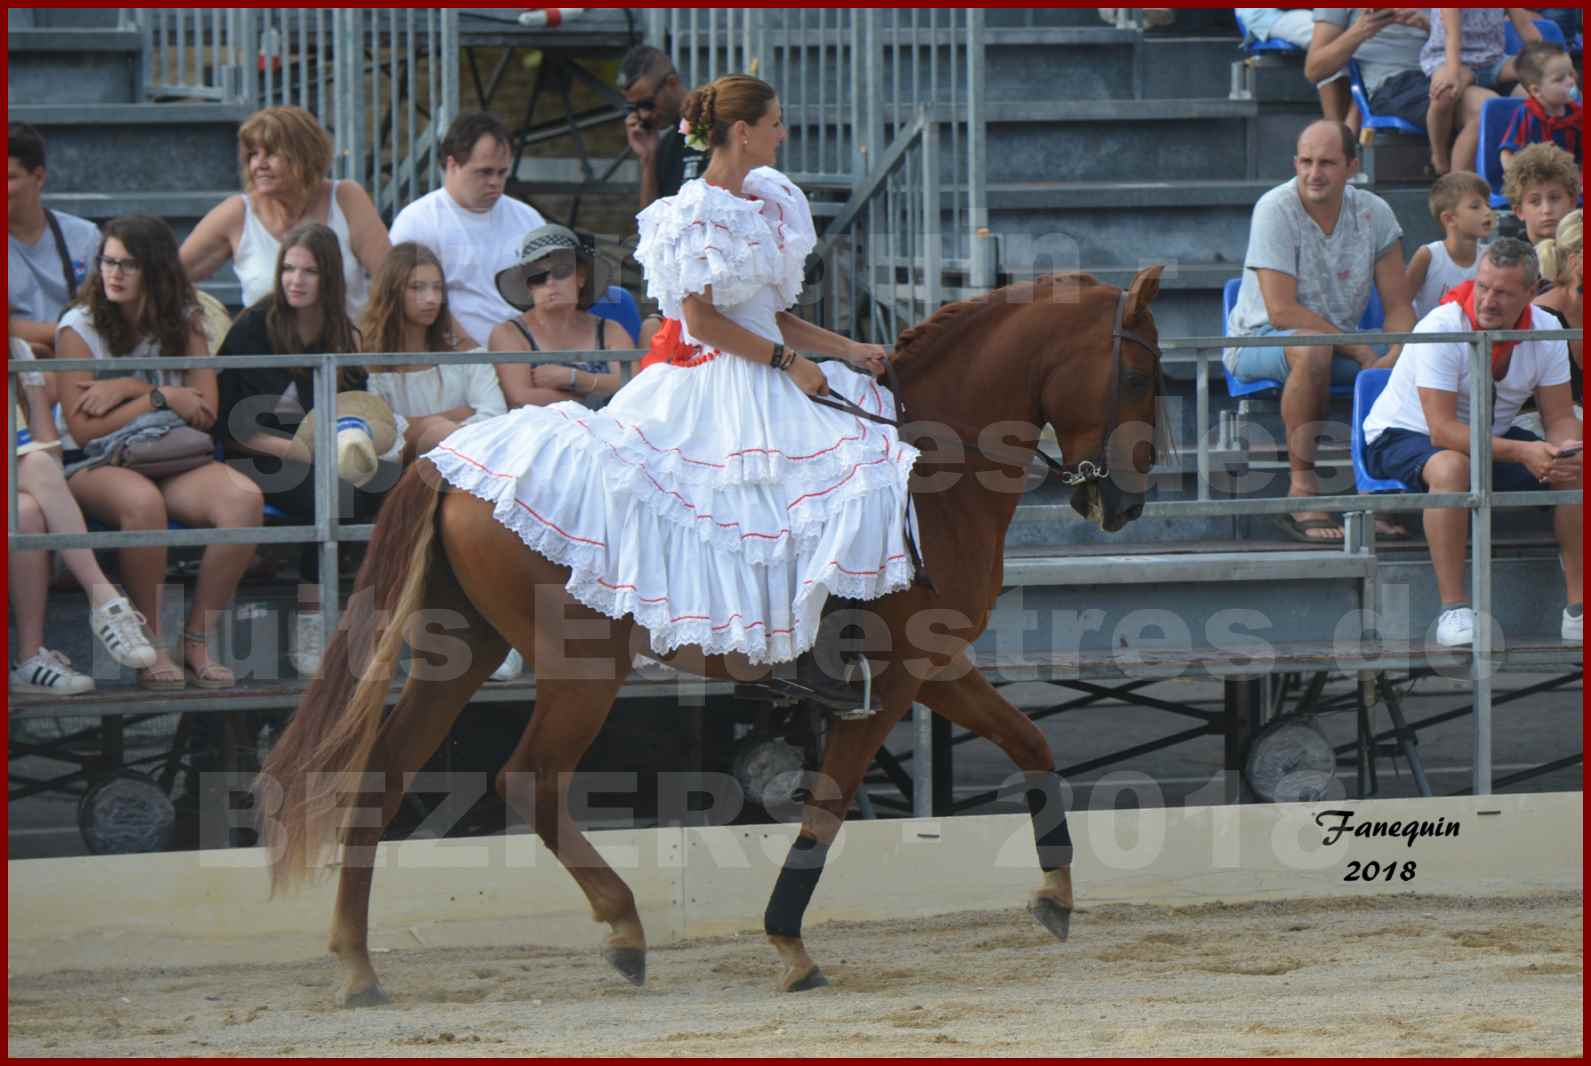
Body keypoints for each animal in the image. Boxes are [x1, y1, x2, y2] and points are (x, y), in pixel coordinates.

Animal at [257, 262, 1170, 1005]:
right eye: (1138, 374)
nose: (1124, 505)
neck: (935, 467)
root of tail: (444, 460)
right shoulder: (887, 682)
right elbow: (829, 807)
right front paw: (790, 946)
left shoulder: (936, 663)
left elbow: (1028, 743)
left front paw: (1055, 894)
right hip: (580, 667)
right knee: (530, 780)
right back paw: (623, 928)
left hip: (461, 652)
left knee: (382, 775)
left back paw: (357, 965)